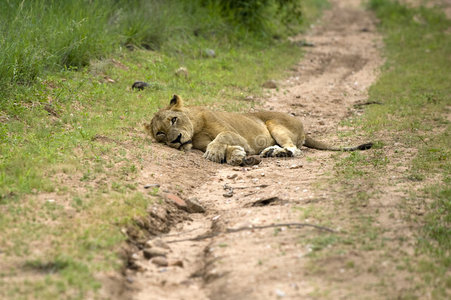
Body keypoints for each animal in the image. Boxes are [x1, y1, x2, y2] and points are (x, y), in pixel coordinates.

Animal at [146, 95, 374, 166]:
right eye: (160, 133)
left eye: (174, 119)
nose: (175, 139)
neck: (196, 127)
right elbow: (227, 146)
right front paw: (234, 155)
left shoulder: (236, 134)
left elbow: (222, 136)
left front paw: (216, 152)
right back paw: (271, 152)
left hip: (275, 123)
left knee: (296, 150)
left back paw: (277, 153)